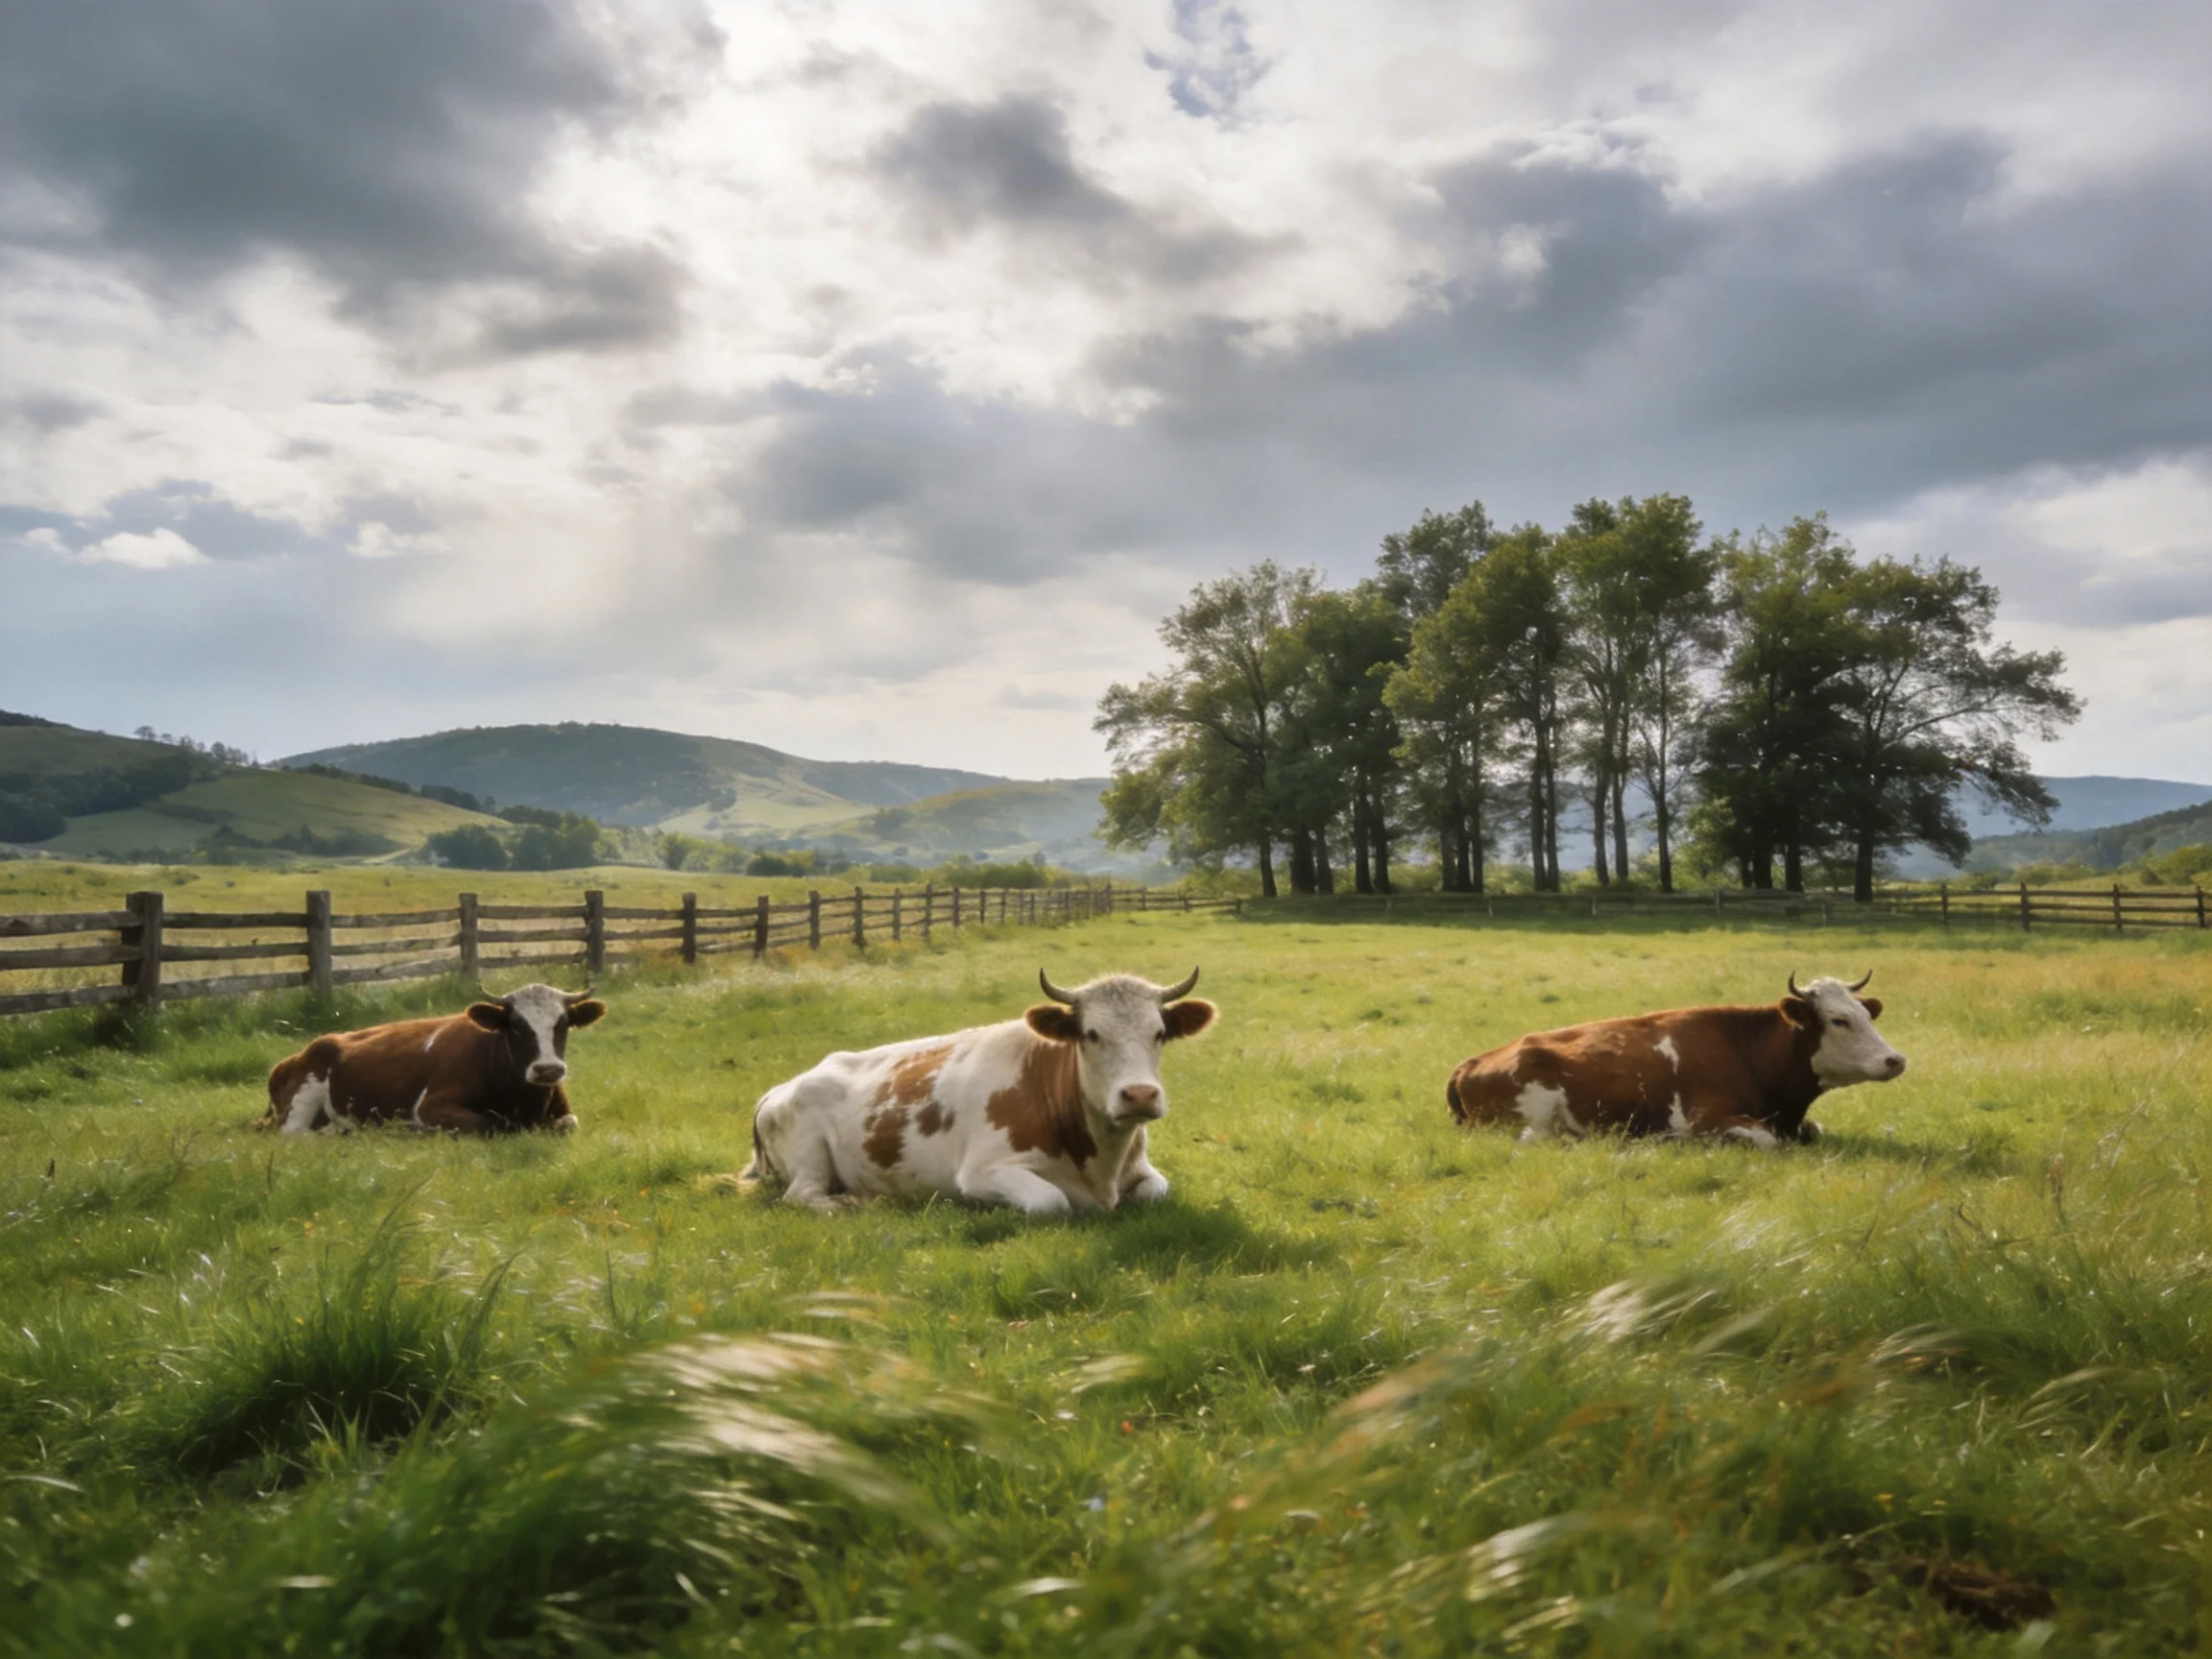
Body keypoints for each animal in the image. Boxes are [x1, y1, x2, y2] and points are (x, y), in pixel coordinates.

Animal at [259, 983, 606, 1136]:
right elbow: (487, 1123)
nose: (548, 1069)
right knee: (294, 1134)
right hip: (302, 1102)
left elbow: (569, 1124)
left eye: (563, 1023)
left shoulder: (564, 1114)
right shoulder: (430, 1105)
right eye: (517, 1024)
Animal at [741, 968, 1217, 1213]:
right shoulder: (981, 1172)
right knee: (803, 1196)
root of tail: (779, 1088)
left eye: (1159, 1033)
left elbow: (1157, 1191)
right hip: (808, 1157)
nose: (1139, 1095)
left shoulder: (1143, 1172)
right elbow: (1051, 1202)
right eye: (1090, 1034)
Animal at [1445, 972, 1904, 1147]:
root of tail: (1471, 1062)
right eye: (1840, 1020)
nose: (1895, 1060)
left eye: (1867, 1015)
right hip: (1534, 1123)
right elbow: (1767, 1140)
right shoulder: (1705, 1119)